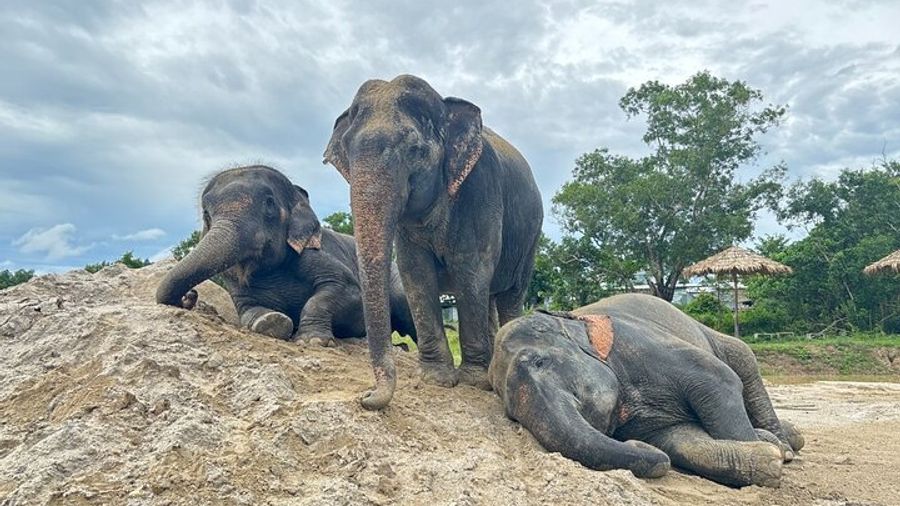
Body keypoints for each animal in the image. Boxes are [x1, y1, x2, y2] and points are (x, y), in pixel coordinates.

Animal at [155, 165, 417, 344]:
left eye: (269, 204)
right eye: (206, 214)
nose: (190, 296)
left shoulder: (312, 253)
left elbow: (346, 290)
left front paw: (313, 341)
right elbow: (247, 310)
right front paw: (273, 322)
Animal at [324, 74, 543, 409]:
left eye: (415, 150)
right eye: (346, 151)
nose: (365, 396)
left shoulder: (480, 190)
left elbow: (470, 269)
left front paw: (474, 383)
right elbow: (416, 273)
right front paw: (437, 379)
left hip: (530, 236)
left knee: (510, 294)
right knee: (491, 297)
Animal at [489, 293, 805, 488]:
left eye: (540, 362)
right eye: (510, 414)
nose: (634, 444)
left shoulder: (639, 344)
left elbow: (719, 380)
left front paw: (774, 453)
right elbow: (680, 441)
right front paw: (768, 459)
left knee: (744, 360)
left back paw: (785, 445)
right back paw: (787, 438)